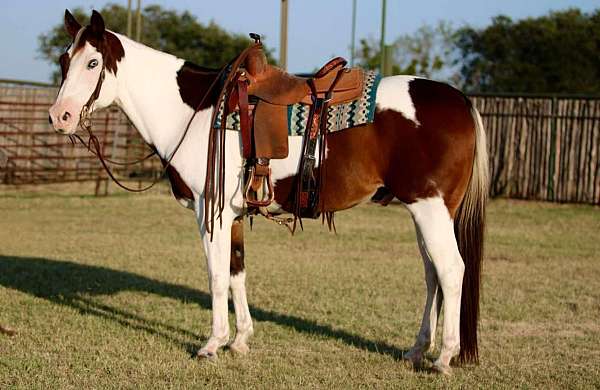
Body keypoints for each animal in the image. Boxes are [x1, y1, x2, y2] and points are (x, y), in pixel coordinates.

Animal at [48, 9, 488, 374]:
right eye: (64, 61)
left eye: (92, 63)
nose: (59, 116)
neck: (195, 112)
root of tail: (460, 100)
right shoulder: (233, 215)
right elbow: (236, 272)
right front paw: (240, 340)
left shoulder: (210, 213)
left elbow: (215, 275)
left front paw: (212, 343)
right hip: (423, 212)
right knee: (432, 275)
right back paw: (417, 350)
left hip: (430, 210)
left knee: (451, 270)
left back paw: (444, 358)